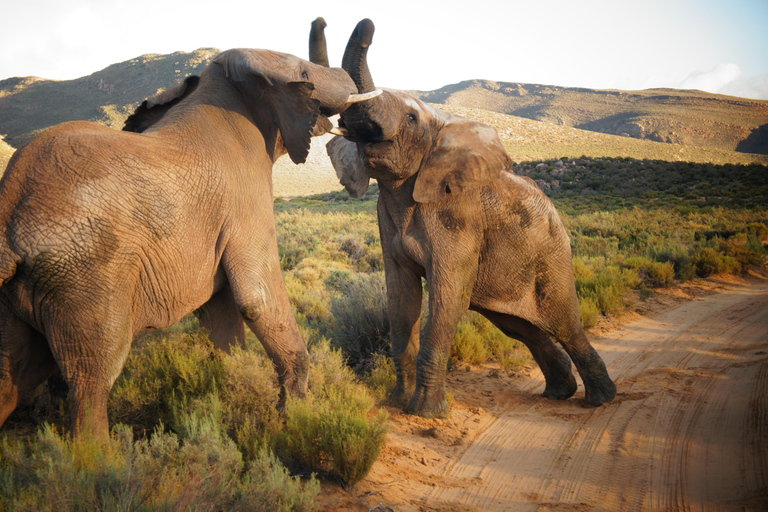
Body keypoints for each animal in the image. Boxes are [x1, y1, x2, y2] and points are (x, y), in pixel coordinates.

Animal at [0, 18, 378, 438]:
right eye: (304, 75)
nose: (363, 23)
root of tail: (10, 212)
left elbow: (223, 315)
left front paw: (229, 390)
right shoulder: (246, 196)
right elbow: (257, 298)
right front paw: (295, 420)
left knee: (12, 379)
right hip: (85, 273)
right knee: (92, 378)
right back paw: (98, 452)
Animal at [326, 21, 616, 420]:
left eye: (411, 118)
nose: (368, 24)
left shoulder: (457, 217)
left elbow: (448, 296)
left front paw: (425, 413)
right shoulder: (386, 217)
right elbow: (401, 298)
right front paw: (398, 404)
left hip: (552, 256)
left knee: (564, 322)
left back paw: (601, 399)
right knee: (521, 327)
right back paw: (560, 392)